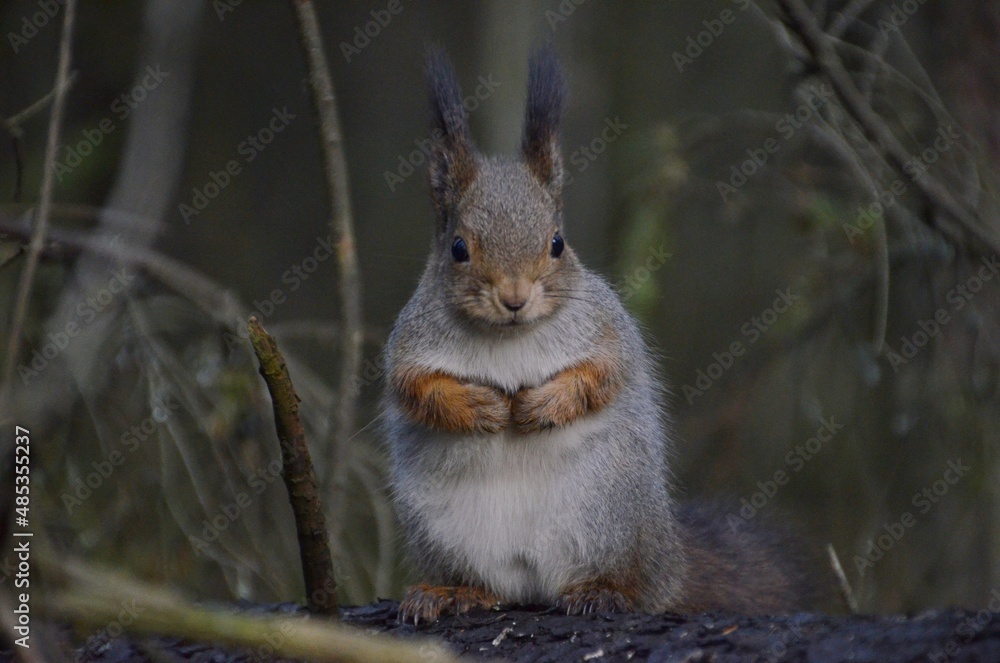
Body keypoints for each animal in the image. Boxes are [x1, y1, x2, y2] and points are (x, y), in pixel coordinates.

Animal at [383, 46, 814, 624]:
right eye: (458, 248)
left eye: (557, 242)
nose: (515, 298)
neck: (508, 337)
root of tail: (668, 564)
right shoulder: (409, 345)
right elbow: (417, 388)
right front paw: (479, 407)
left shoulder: (609, 331)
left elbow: (602, 375)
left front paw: (541, 405)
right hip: (446, 531)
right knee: (486, 584)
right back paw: (451, 592)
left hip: (608, 511)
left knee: (626, 581)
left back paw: (604, 590)